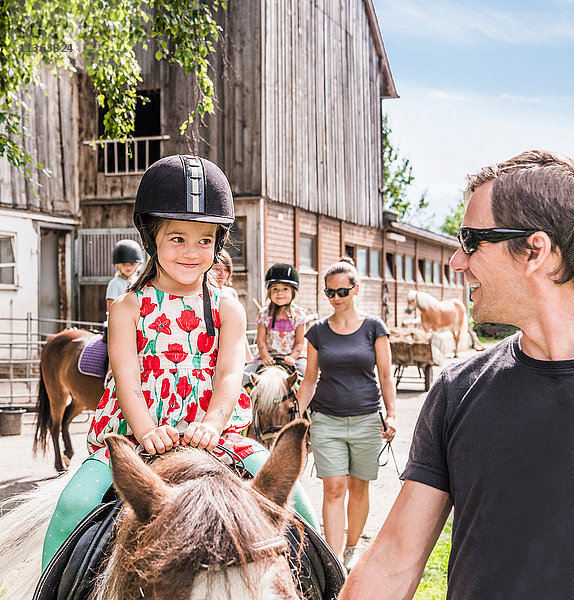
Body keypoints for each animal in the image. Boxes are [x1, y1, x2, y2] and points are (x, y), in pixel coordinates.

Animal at [34, 328, 104, 474]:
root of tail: (53, 338)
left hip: (80, 400)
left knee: (65, 419)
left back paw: (68, 454)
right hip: (57, 394)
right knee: (55, 426)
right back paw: (59, 464)